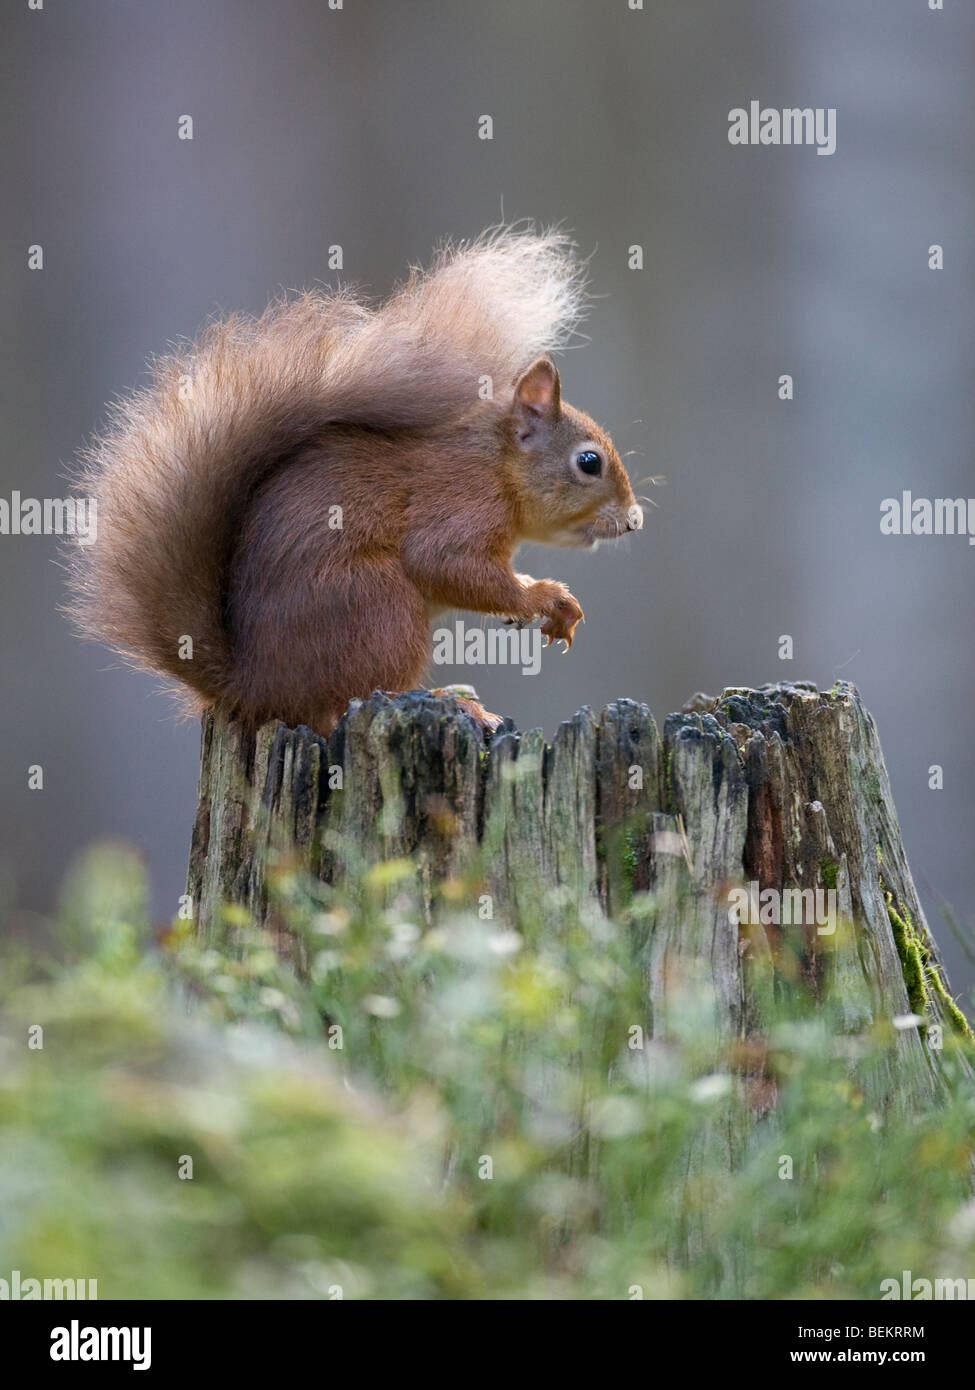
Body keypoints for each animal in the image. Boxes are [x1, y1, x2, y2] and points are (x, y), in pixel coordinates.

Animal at [70, 225, 645, 739]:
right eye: (589, 462)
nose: (634, 519)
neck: (496, 466)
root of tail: (253, 687)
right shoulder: (458, 503)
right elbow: (446, 562)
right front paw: (543, 596)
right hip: (377, 606)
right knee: (348, 700)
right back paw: (452, 702)